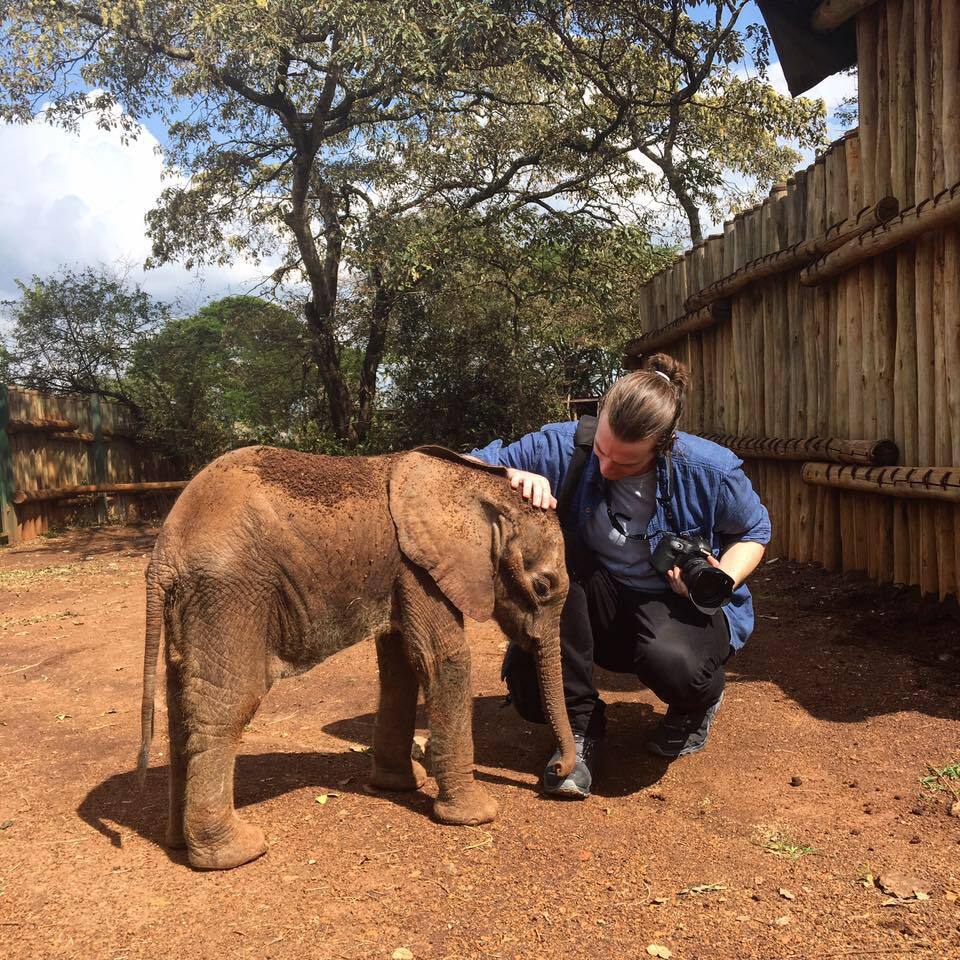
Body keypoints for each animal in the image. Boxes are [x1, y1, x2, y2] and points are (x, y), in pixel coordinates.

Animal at [138, 442, 572, 872]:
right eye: (543, 586)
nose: (555, 771)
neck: (476, 484)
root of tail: (164, 552)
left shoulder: (402, 570)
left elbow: (401, 666)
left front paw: (402, 784)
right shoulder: (420, 567)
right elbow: (444, 660)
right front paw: (479, 815)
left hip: (195, 602)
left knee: (180, 705)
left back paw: (178, 843)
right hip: (229, 594)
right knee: (228, 706)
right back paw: (238, 852)